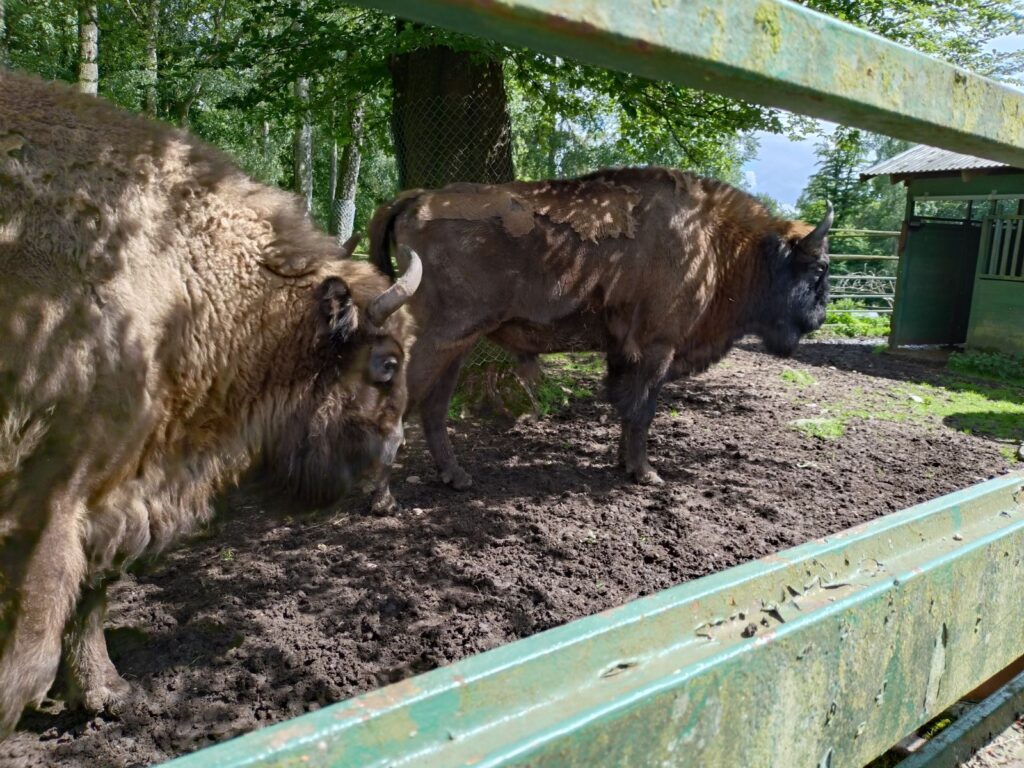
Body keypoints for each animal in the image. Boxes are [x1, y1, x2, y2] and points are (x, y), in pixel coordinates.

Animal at [0, 72, 419, 741]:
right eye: (385, 362)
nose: (394, 448)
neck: (183, 283)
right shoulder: (47, 493)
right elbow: (35, 623)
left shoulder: (113, 491)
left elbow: (92, 590)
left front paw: (108, 694)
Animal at [368, 166, 831, 493]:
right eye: (818, 269)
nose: (821, 316)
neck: (717, 241)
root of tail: (416, 197)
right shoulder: (657, 348)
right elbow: (642, 410)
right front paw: (646, 474)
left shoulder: (625, 353)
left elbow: (627, 408)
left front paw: (624, 464)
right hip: (438, 337)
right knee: (399, 402)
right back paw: (380, 497)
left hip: (458, 343)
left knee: (433, 407)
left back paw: (457, 478)